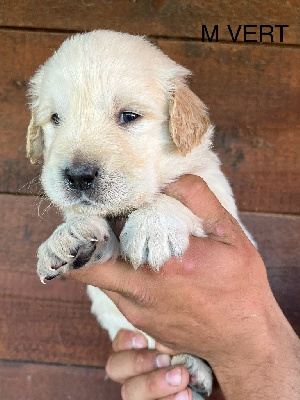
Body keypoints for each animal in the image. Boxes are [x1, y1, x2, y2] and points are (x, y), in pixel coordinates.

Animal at [27, 29, 254, 398]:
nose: (77, 176)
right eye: (55, 119)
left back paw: (194, 369)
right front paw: (67, 237)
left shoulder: (213, 188)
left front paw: (153, 225)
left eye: (129, 116)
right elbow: (88, 225)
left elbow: (176, 196)